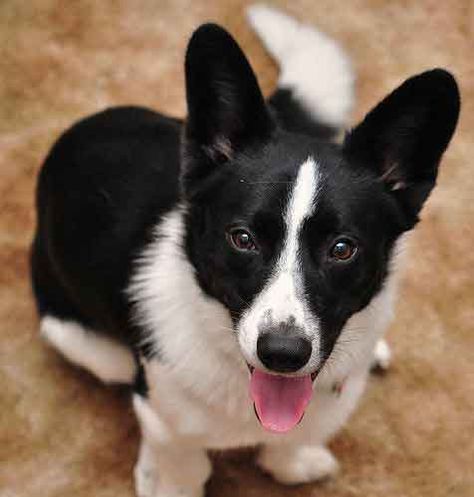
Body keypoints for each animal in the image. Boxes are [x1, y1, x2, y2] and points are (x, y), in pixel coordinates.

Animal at [29, 4, 460, 496]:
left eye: (342, 248)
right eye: (242, 238)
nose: (283, 355)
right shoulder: (161, 411)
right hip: (86, 343)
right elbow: (182, 457)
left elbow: (292, 440)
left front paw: (292, 461)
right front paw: (166, 477)